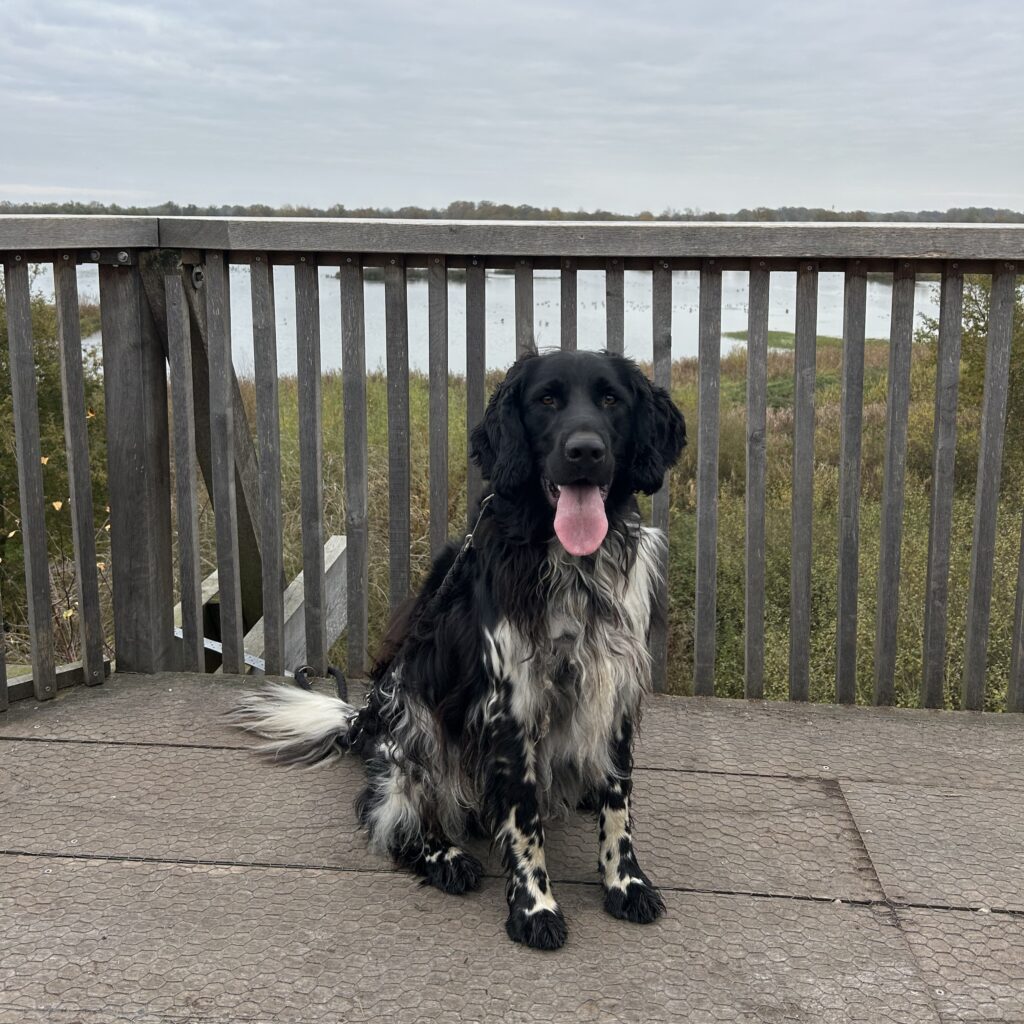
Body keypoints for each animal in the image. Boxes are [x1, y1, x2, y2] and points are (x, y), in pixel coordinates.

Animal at [230, 349, 686, 950]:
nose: (585, 451)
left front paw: (625, 882)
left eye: (611, 399)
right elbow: (523, 823)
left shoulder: (613, 689)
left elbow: (618, 804)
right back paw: (442, 854)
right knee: (390, 812)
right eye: (546, 400)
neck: (568, 563)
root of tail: (364, 724)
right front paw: (535, 908)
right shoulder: (510, 705)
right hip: (414, 725)